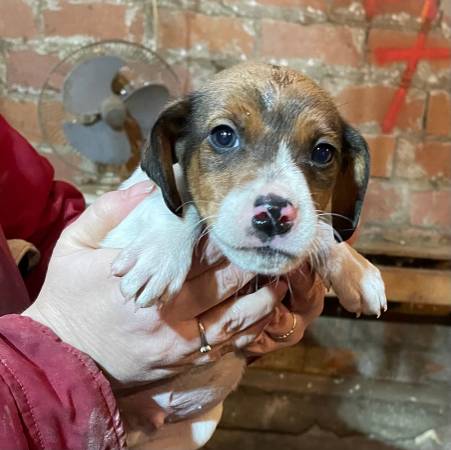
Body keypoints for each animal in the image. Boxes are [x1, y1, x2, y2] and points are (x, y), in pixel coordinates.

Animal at [103, 63, 388, 450]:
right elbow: (179, 196)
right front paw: (158, 251)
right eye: (223, 135)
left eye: (323, 152)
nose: (274, 214)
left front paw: (355, 268)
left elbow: (318, 224)